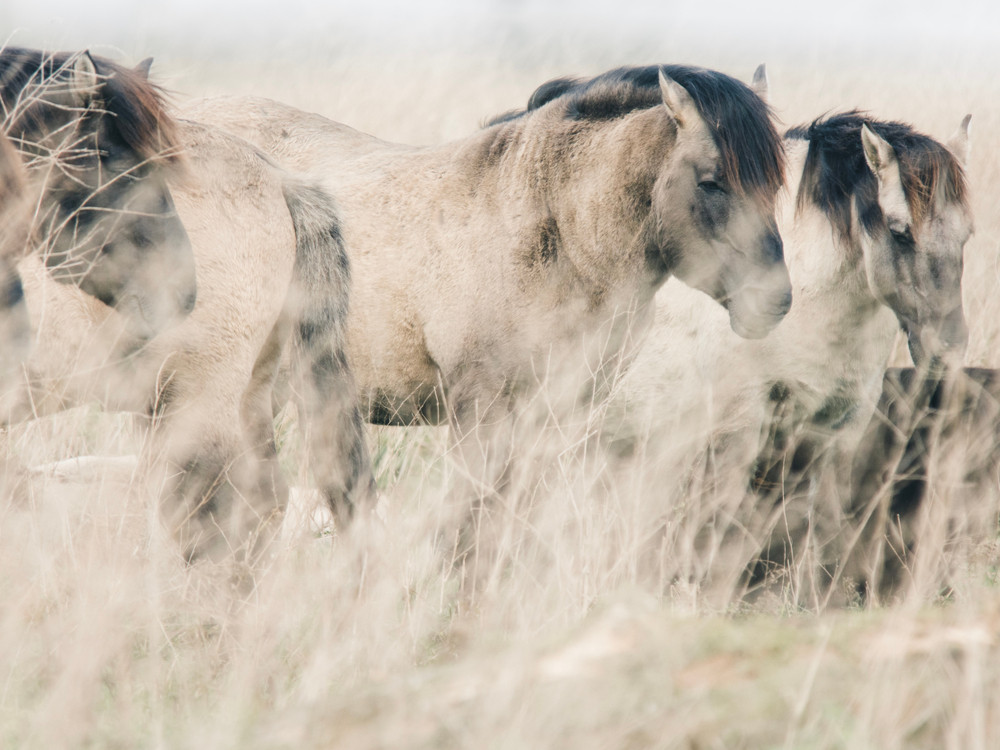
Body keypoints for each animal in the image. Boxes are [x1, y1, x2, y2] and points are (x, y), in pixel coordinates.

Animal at [189, 63, 788, 580]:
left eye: (775, 185)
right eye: (710, 182)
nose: (775, 299)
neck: (554, 229)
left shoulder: (563, 413)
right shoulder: (479, 411)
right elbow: (471, 528)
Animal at [612, 108, 972, 608]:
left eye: (967, 235)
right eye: (901, 233)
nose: (946, 350)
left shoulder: (838, 429)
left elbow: (825, 528)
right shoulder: (739, 431)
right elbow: (725, 534)